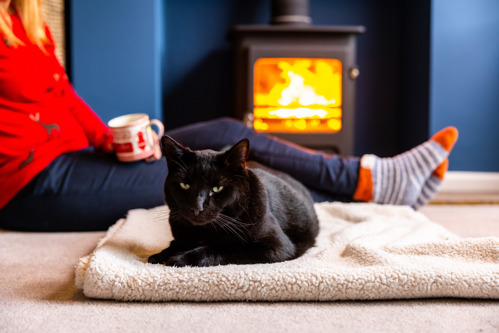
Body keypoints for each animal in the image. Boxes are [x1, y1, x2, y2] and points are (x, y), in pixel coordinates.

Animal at [147, 136, 320, 268]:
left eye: (217, 188)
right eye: (185, 185)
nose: (197, 207)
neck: (203, 232)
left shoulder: (277, 246)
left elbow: (222, 248)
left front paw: (180, 258)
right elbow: (175, 243)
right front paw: (159, 255)